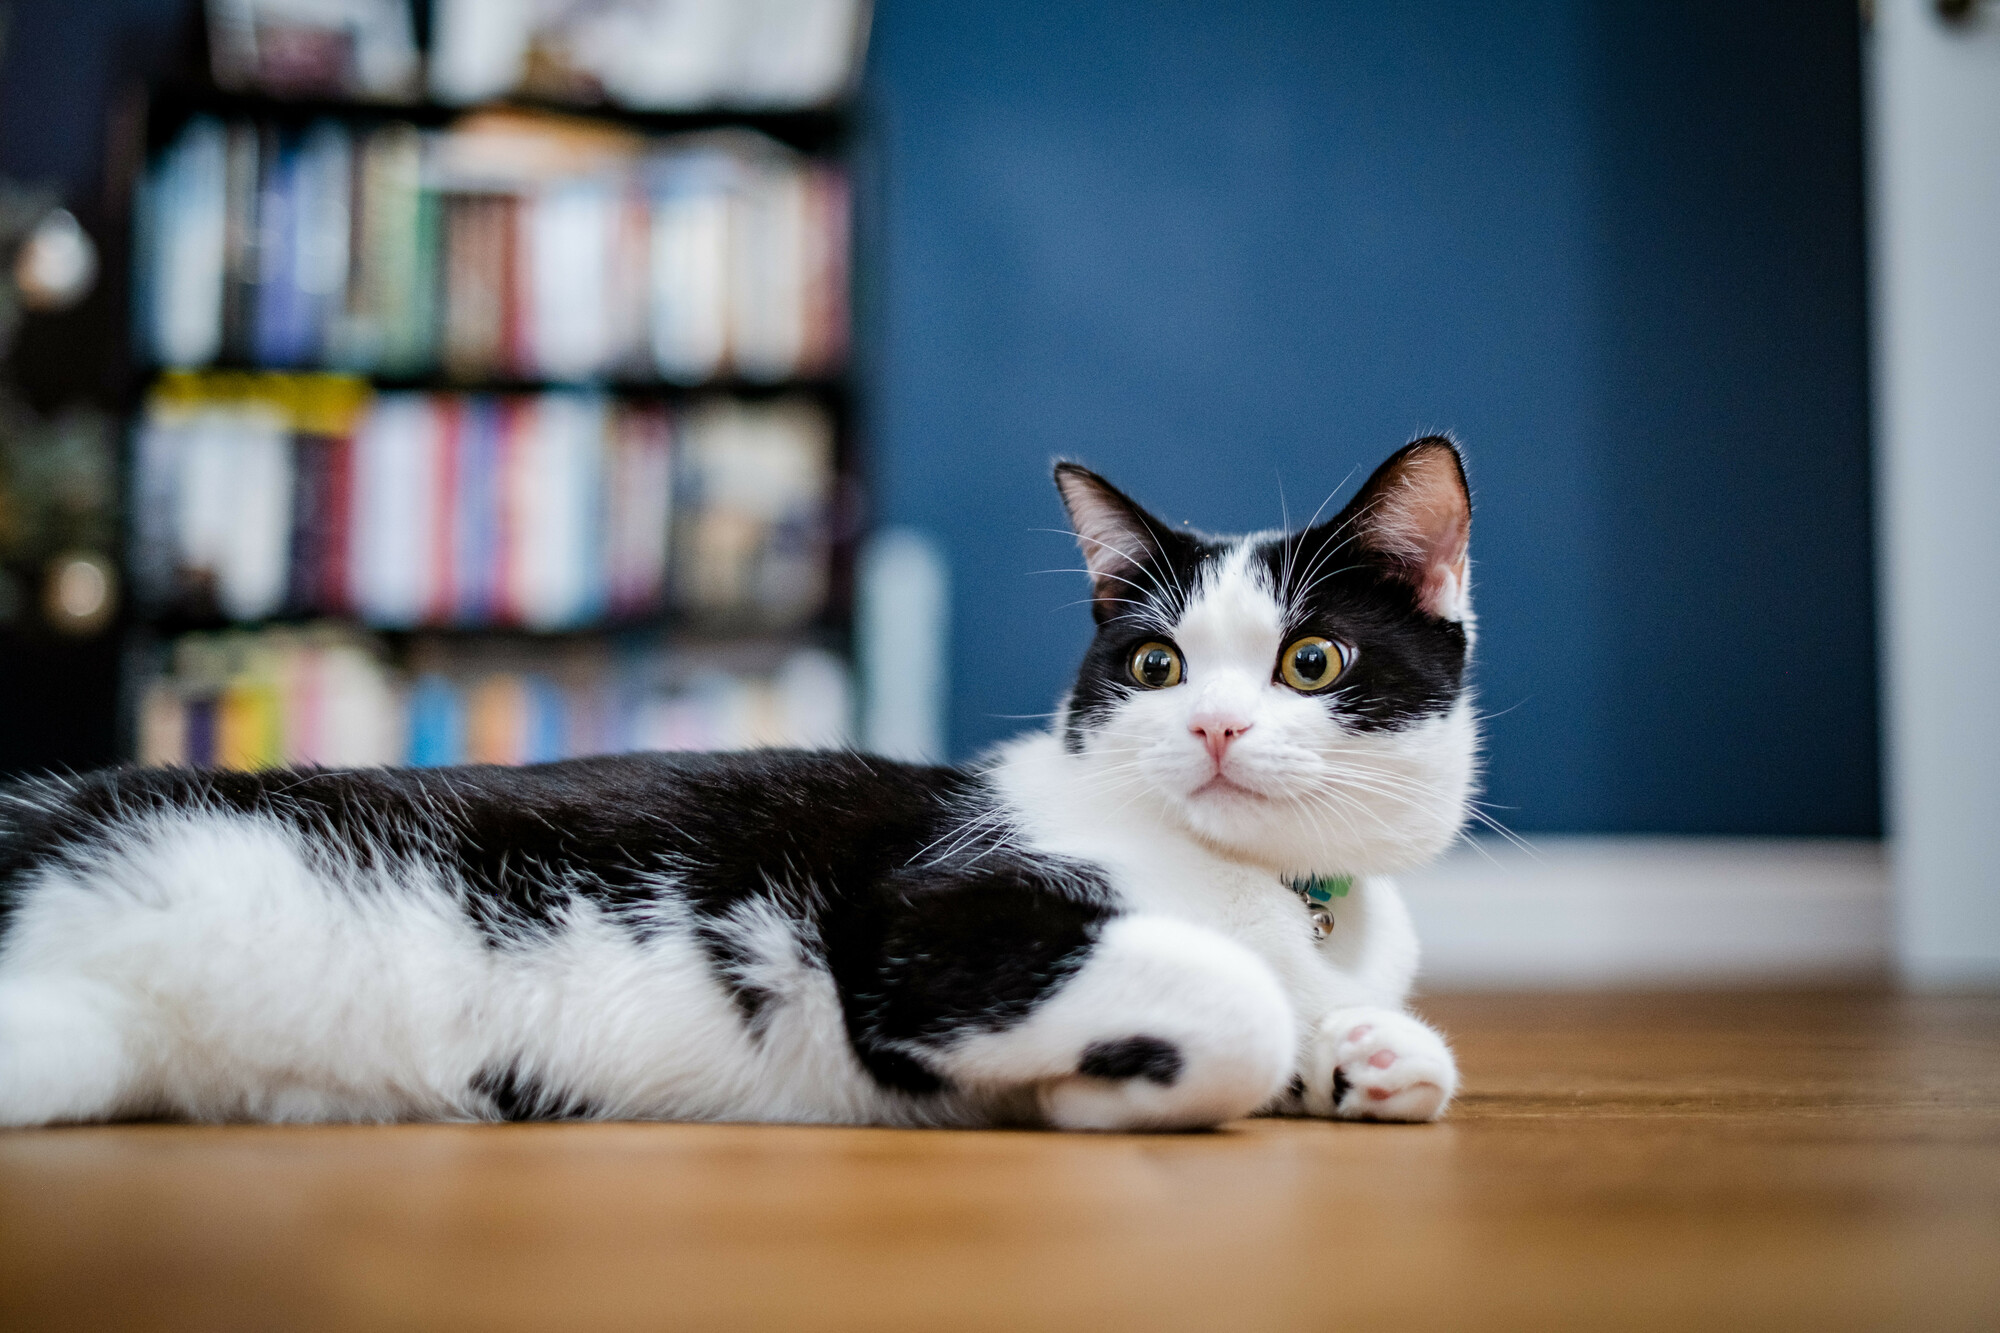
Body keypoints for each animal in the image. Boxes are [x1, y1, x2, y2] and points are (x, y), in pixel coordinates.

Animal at [0, 440, 1472, 1128]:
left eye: (1311, 658)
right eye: (1157, 663)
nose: (1214, 728)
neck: (1266, 891)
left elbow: (1355, 1028)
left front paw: (1361, 1054)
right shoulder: (919, 924)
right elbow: (1234, 1005)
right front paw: (1112, 1085)